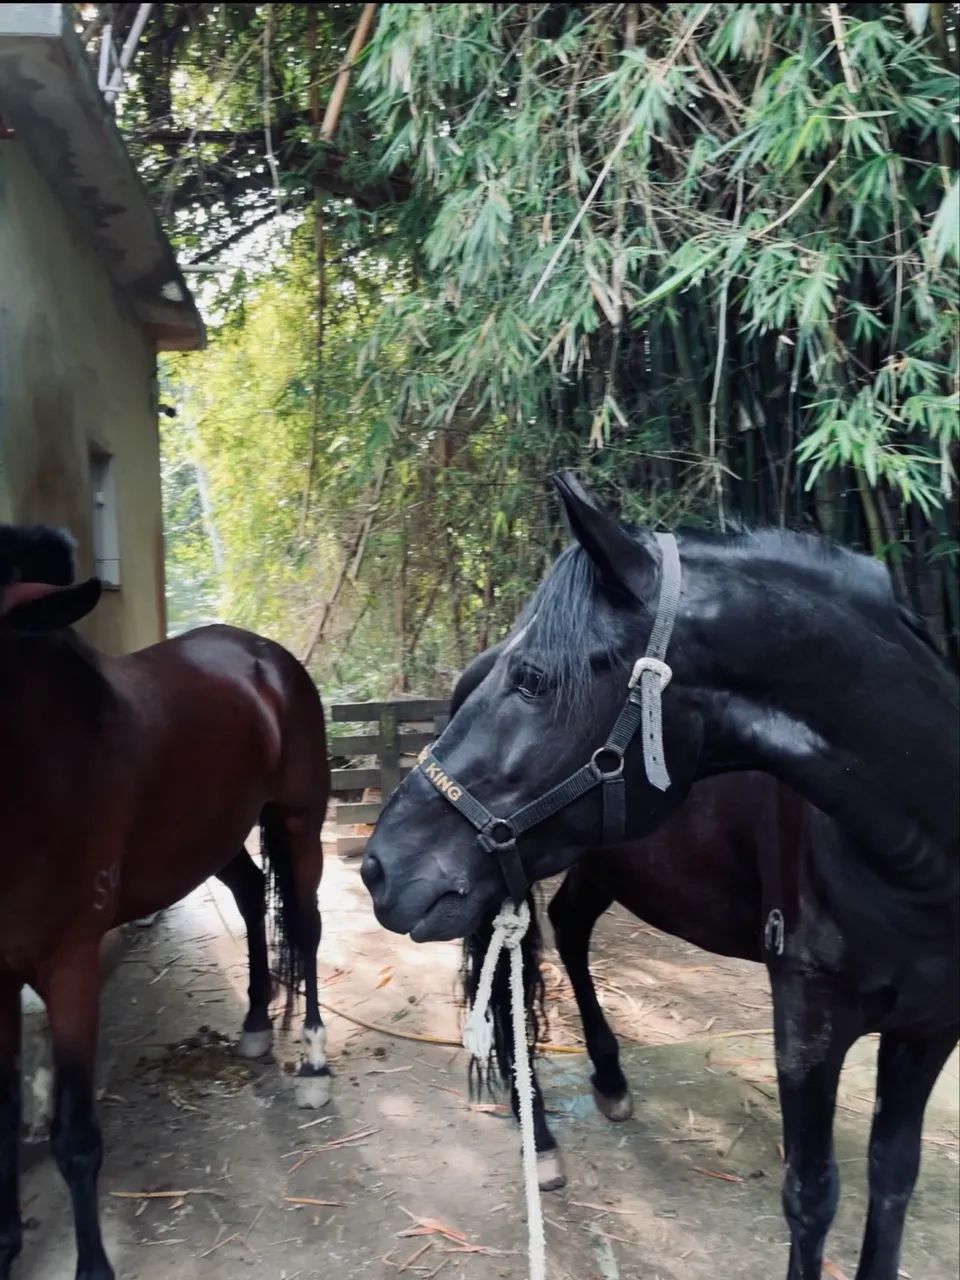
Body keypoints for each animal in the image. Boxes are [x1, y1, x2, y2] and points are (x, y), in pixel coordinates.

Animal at [0, 525, 331, 1280]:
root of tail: (266, 655)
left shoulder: (71, 968)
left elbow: (75, 1138)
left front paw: (93, 1267)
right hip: (216, 833)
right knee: (251, 896)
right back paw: (255, 1025)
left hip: (299, 821)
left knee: (304, 922)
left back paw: (314, 1059)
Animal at [363, 474, 959, 1280]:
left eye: (533, 678)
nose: (378, 866)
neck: (917, 866)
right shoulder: (807, 1020)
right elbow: (813, 1195)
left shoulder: (930, 1026)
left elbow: (893, 1177)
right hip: (504, 882)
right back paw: (541, 1139)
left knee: (571, 928)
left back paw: (610, 1080)